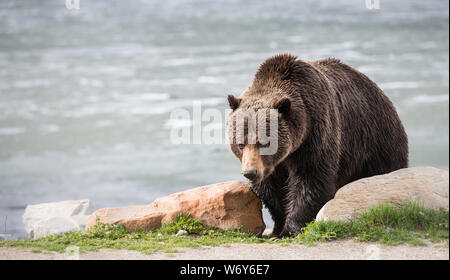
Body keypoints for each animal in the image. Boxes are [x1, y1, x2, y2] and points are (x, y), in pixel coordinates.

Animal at [225, 53, 408, 236]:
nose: (250, 172)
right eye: (240, 144)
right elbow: (271, 190)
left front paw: (289, 230)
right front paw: (277, 229)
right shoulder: (273, 165)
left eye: (264, 142)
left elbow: (311, 180)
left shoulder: (316, 135)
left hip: (376, 143)